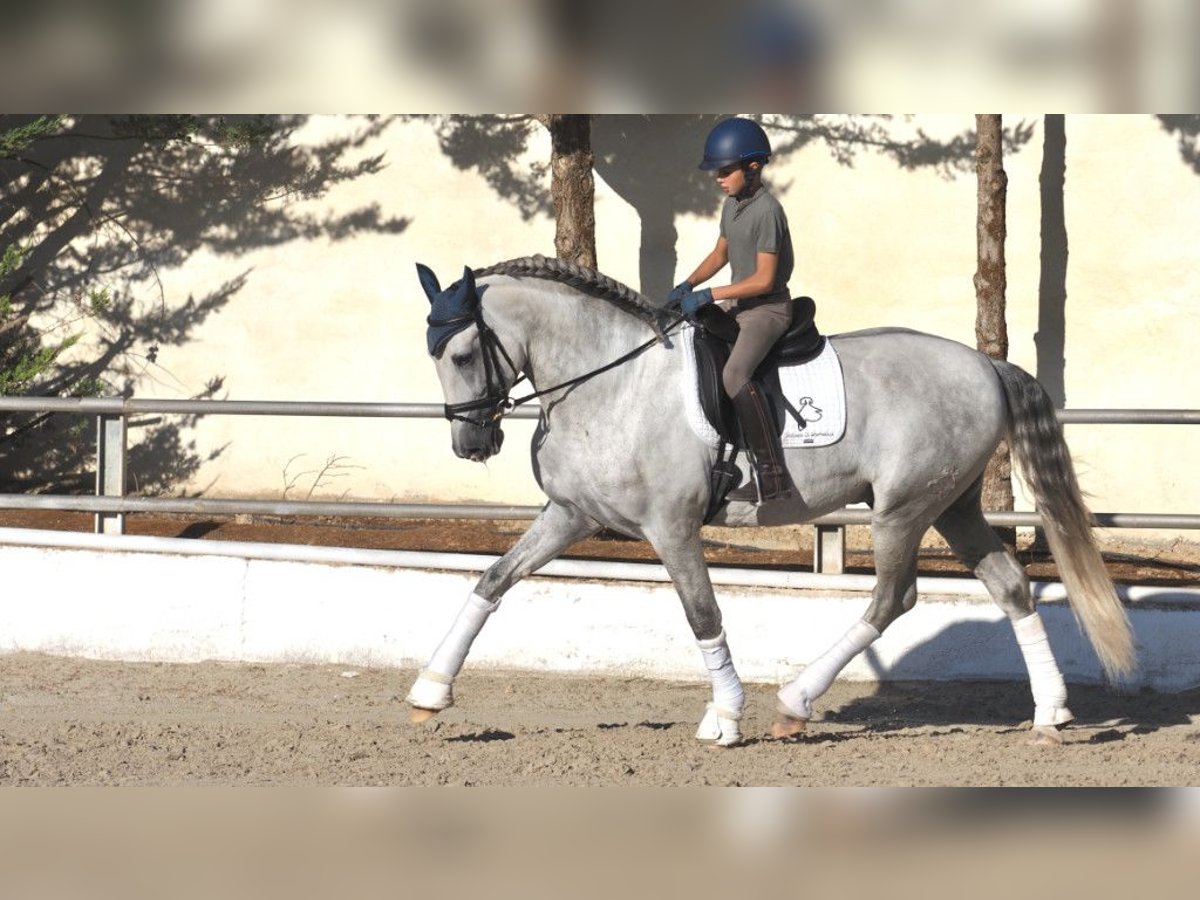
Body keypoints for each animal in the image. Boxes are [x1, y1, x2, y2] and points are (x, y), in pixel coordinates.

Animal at [405, 254, 1132, 748]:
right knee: (1010, 585)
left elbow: (703, 615)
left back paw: (794, 701)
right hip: (952, 506)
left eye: (463, 353)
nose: (472, 442)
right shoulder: (571, 515)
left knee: (892, 599)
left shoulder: (671, 526)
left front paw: (725, 716)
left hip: (902, 509)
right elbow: (492, 581)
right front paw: (430, 691)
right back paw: (1050, 712)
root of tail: (984, 364)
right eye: (432, 354)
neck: (609, 384)